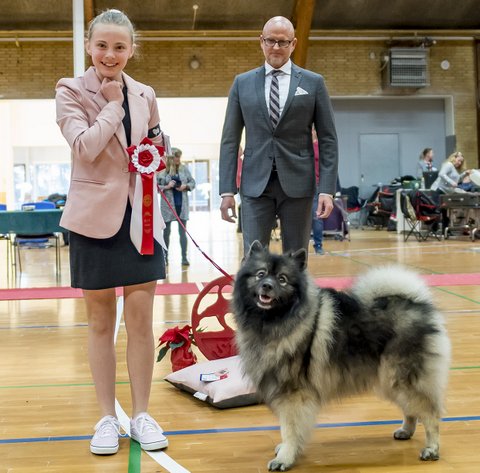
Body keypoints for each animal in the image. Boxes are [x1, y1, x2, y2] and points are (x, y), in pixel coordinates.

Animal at [232, 242, 450, 470]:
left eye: (282, 279)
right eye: (260, 274)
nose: (267, 286)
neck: (273, 321)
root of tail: (417, 304)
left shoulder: (293, 395)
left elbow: (289, 429)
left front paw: (285, 458)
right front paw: (286, 450)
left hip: (402, 379)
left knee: (430, 413)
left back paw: (431, 449)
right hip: (390, 382)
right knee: (411, 410)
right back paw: (406, 431)